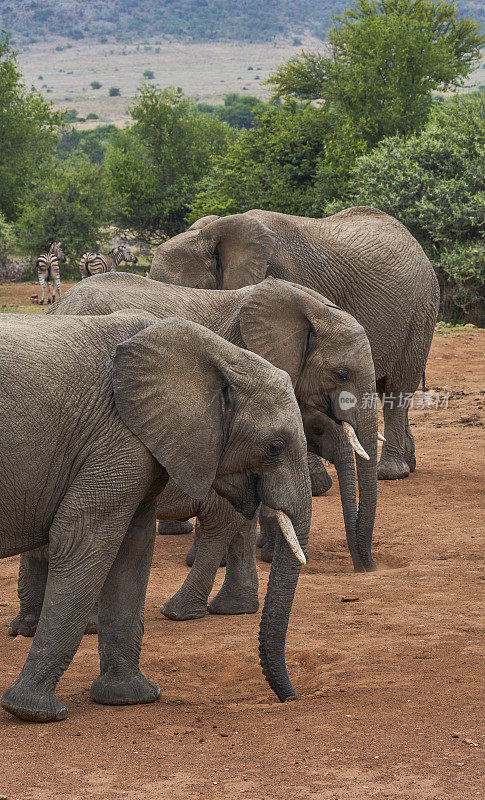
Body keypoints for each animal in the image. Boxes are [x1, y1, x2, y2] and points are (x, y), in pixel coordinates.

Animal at [0, 310, 310, 720]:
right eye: (274, 447)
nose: (290, 698)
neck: (220, 354)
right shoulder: (116, 439)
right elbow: (85, 540)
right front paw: (33, 712)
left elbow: (133, 548)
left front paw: (130, 698)